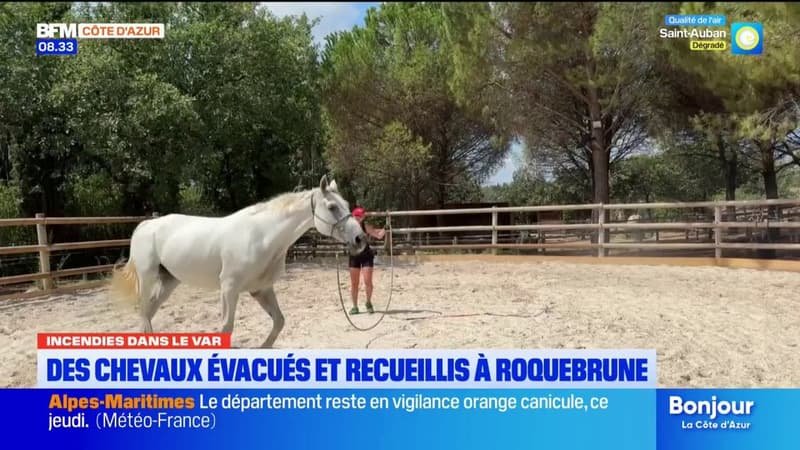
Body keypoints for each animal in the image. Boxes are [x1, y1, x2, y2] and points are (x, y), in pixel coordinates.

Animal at [109, 175, 367, 348]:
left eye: (346, 205)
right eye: (332, 207)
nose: (360, 239)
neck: (262, 236)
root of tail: (145, 225)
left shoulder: (261, 289)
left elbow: (279, 322)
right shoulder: (229, 288)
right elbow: (226, 327)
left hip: (169, 281)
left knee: (148, 314)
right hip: (147, 278)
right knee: (144, 313)